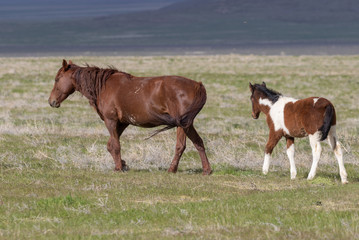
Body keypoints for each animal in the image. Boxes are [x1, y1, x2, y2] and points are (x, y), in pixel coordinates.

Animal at [49, 59, 212, 174]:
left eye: (57, 79)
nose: (52, 101)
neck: (103, 86)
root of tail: (197, 85)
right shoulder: (122, 123)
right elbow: (110, 145)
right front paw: (123, 164)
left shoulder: (111, 121)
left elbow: (115, 146)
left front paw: (118, 168)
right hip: (187, 124)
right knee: (198, 142)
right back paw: (207, 170)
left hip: (182, 125)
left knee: (180, 146)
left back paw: (172, 169)